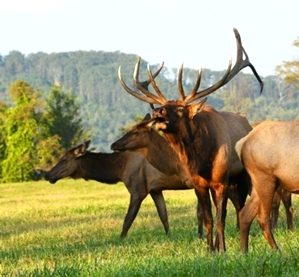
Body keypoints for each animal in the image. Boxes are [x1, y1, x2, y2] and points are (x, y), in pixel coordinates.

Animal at [44, 140, 195, 237]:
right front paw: (169, 236)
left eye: (64, 159)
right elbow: (163, 215)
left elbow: (128, 219)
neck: (119, 169)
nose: (48, 175)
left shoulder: (138, 189)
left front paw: (120, 239)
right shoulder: (155, 189)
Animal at [237, 119, 299, 251]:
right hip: (265, 180)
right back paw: (276, 249)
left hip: (259, 185)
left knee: (245, 214)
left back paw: (244, 251)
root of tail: (241, 144)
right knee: (262, 218)